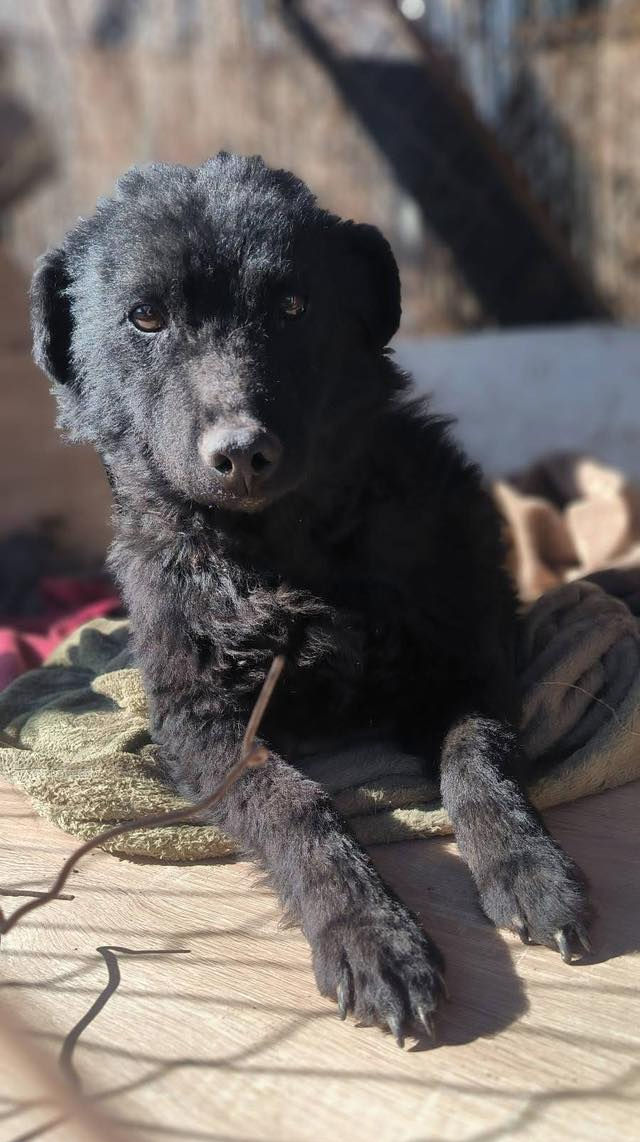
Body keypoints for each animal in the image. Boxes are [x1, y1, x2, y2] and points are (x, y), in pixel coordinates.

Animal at [31, 153, 590, 1044]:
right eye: (146, 317)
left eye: (292, 306)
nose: (242, 454)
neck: (282, 551)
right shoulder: (200, 719)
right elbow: (292, 802)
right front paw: (369, 933)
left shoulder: (463, 668)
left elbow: (478, 755)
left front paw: (527, 864)